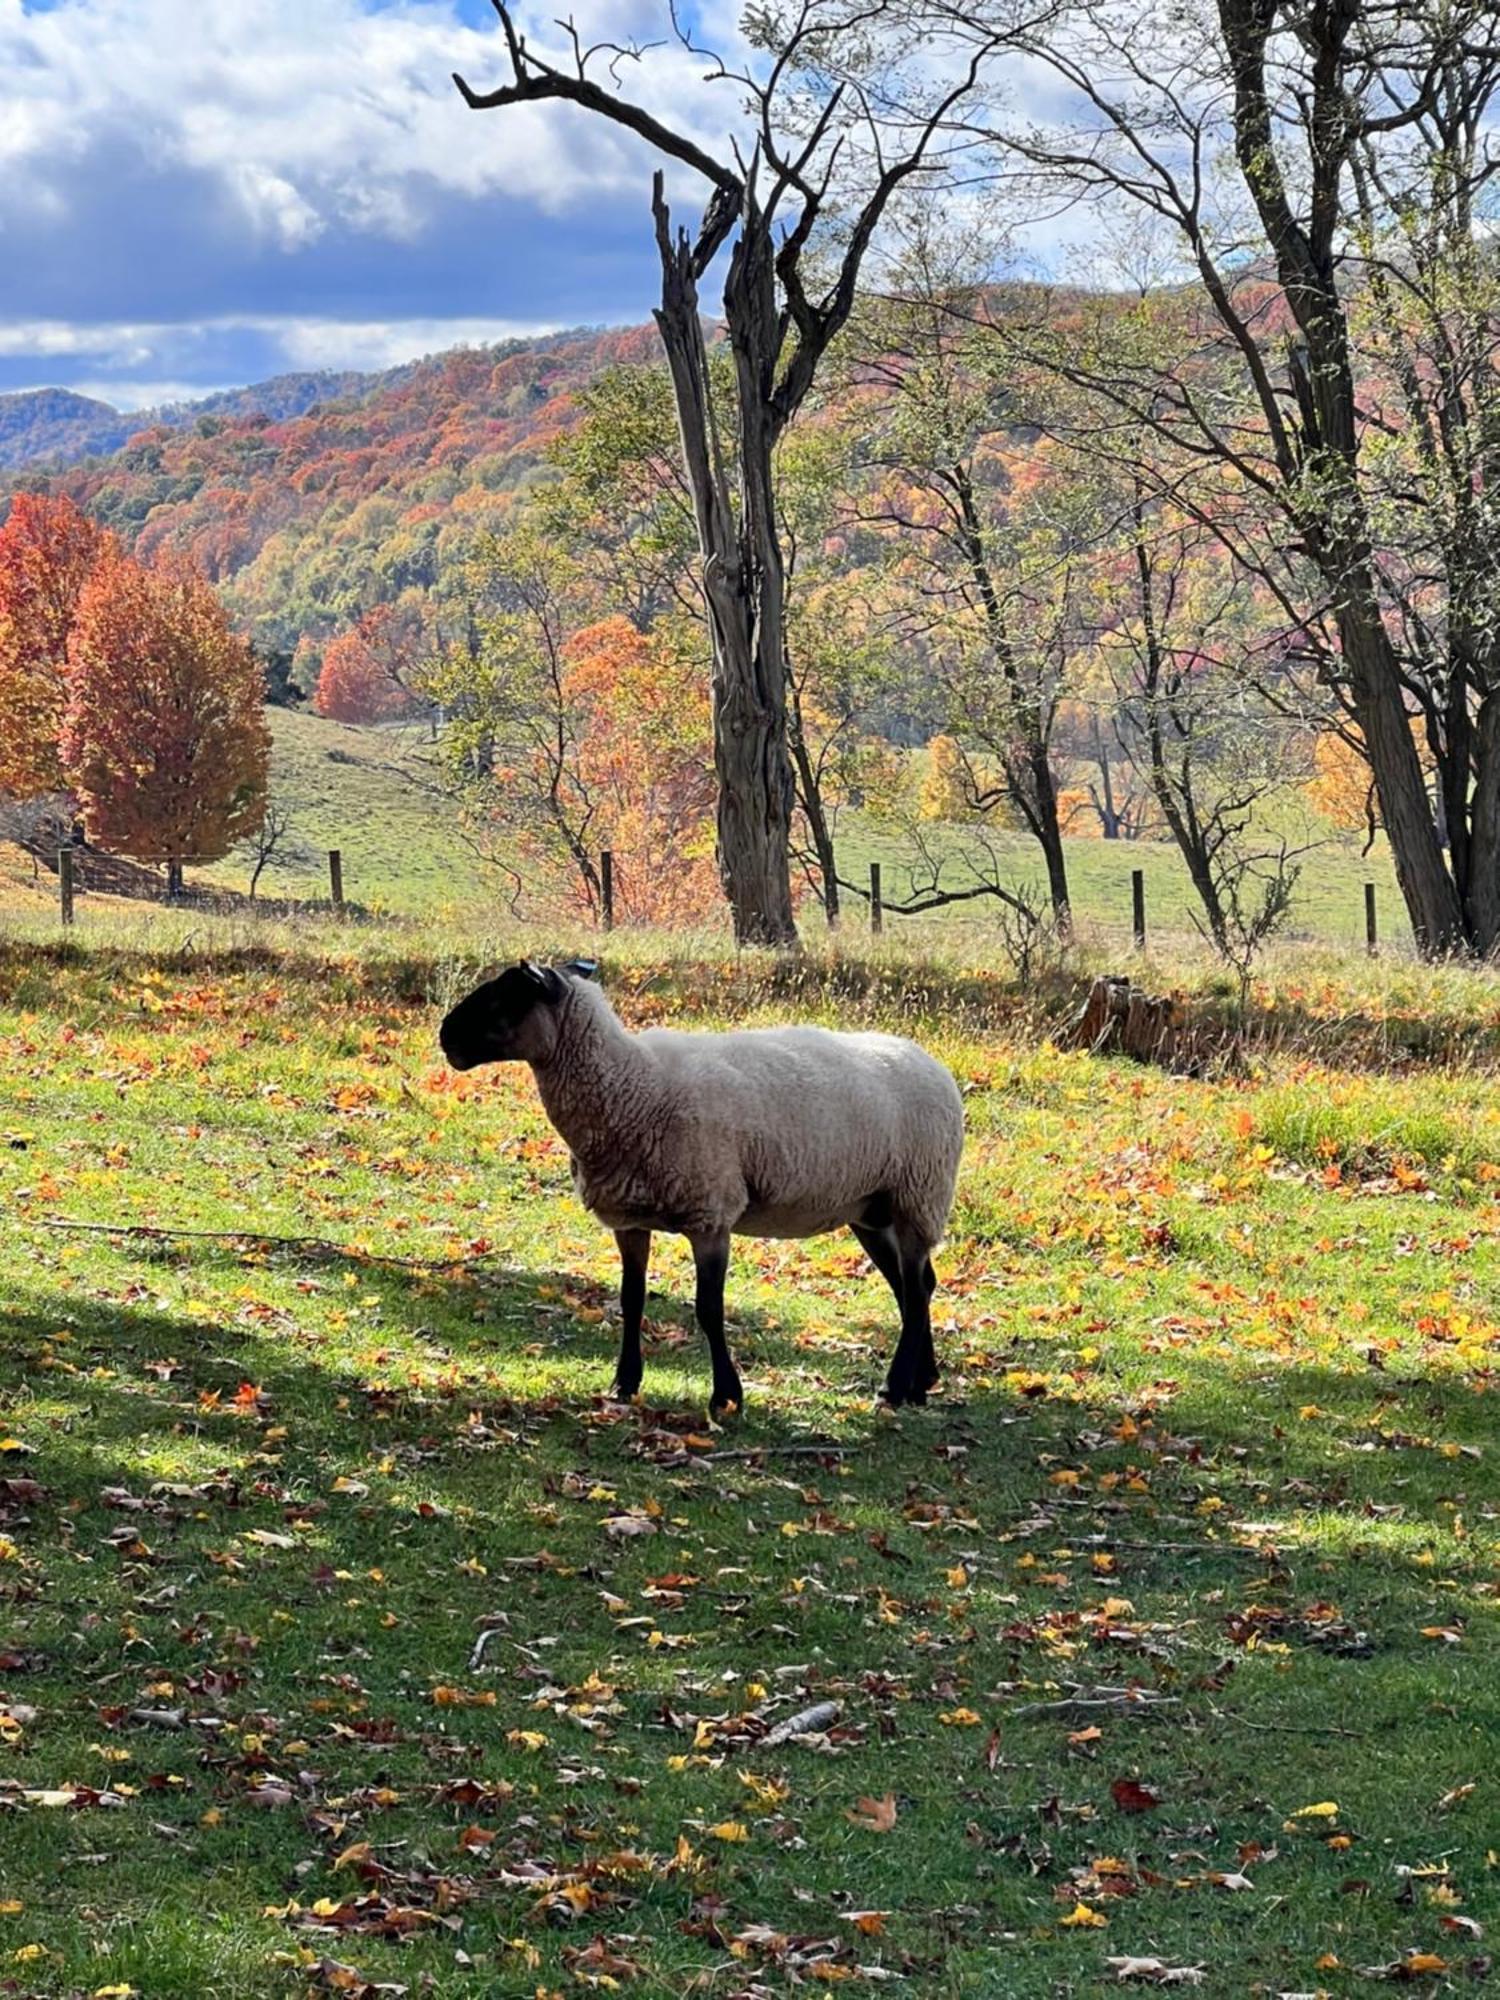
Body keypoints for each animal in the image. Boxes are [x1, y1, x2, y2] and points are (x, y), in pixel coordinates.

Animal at [440, 960, 968, 1416]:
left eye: (507, 999)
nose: (445, 1035)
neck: (633, 1085)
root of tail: (933, 1063)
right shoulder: (630, 1220)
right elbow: (631, 1300)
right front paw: (624, 1382)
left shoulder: (710, 1214)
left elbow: (709, 1309)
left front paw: (726, 1395)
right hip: (871, 1209)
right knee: (915, 1285)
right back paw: (922, 1381)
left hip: (919, 1194)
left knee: (915, 1286)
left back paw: (896, 1386)